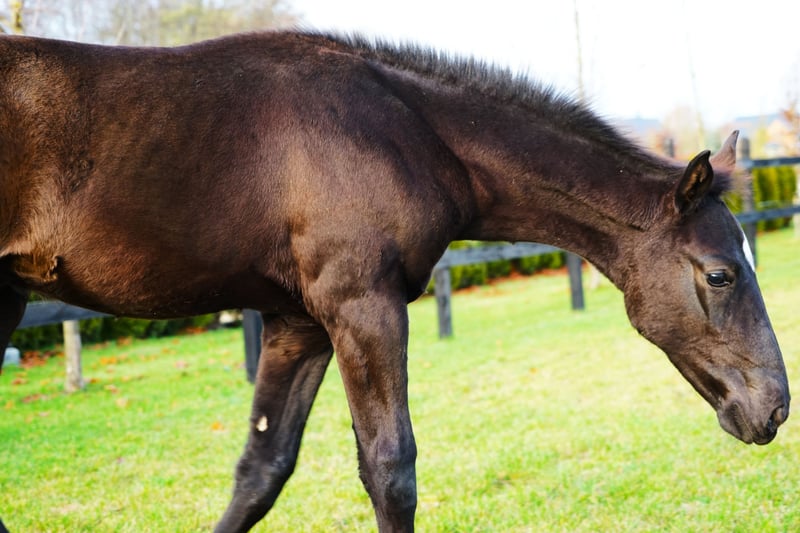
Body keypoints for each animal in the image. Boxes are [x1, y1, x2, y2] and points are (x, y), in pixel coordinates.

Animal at [0, 31, 789, 532]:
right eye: (720, 273)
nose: (776, 408)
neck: (406, 131)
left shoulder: (299, 324)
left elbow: (261, 469)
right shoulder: (363, 307)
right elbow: (390, 469)